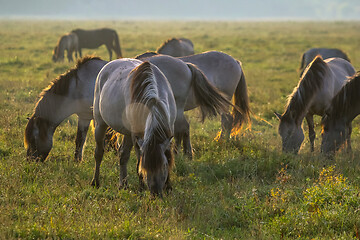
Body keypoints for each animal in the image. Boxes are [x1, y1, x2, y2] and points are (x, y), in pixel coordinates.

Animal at [90, 58, 176, 197]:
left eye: (163, 166)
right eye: (145, 167)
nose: (155, 193)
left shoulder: (168, 131)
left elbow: (168, 155)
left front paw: (168, 186)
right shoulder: (137, 136)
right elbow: (138, 160)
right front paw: (141, 187)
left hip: (126, 132)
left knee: (122, 155)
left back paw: (123, 184)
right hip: (100, 124)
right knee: (99, 153)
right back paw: (95, 182)